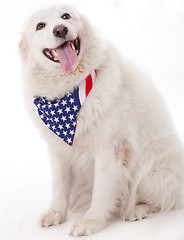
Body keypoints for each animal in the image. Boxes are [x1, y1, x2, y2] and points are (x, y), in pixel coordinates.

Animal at [19, 4, 183, 235]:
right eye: (40, 26)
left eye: (66, 16)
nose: (60, 30)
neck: (70, 88)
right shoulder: (58, 151)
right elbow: (59, 187)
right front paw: (56, 213)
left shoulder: (109, 151)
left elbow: (102, 191)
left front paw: (90, 222)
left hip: (149, 171)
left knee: (166, 201)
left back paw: (137, 210)